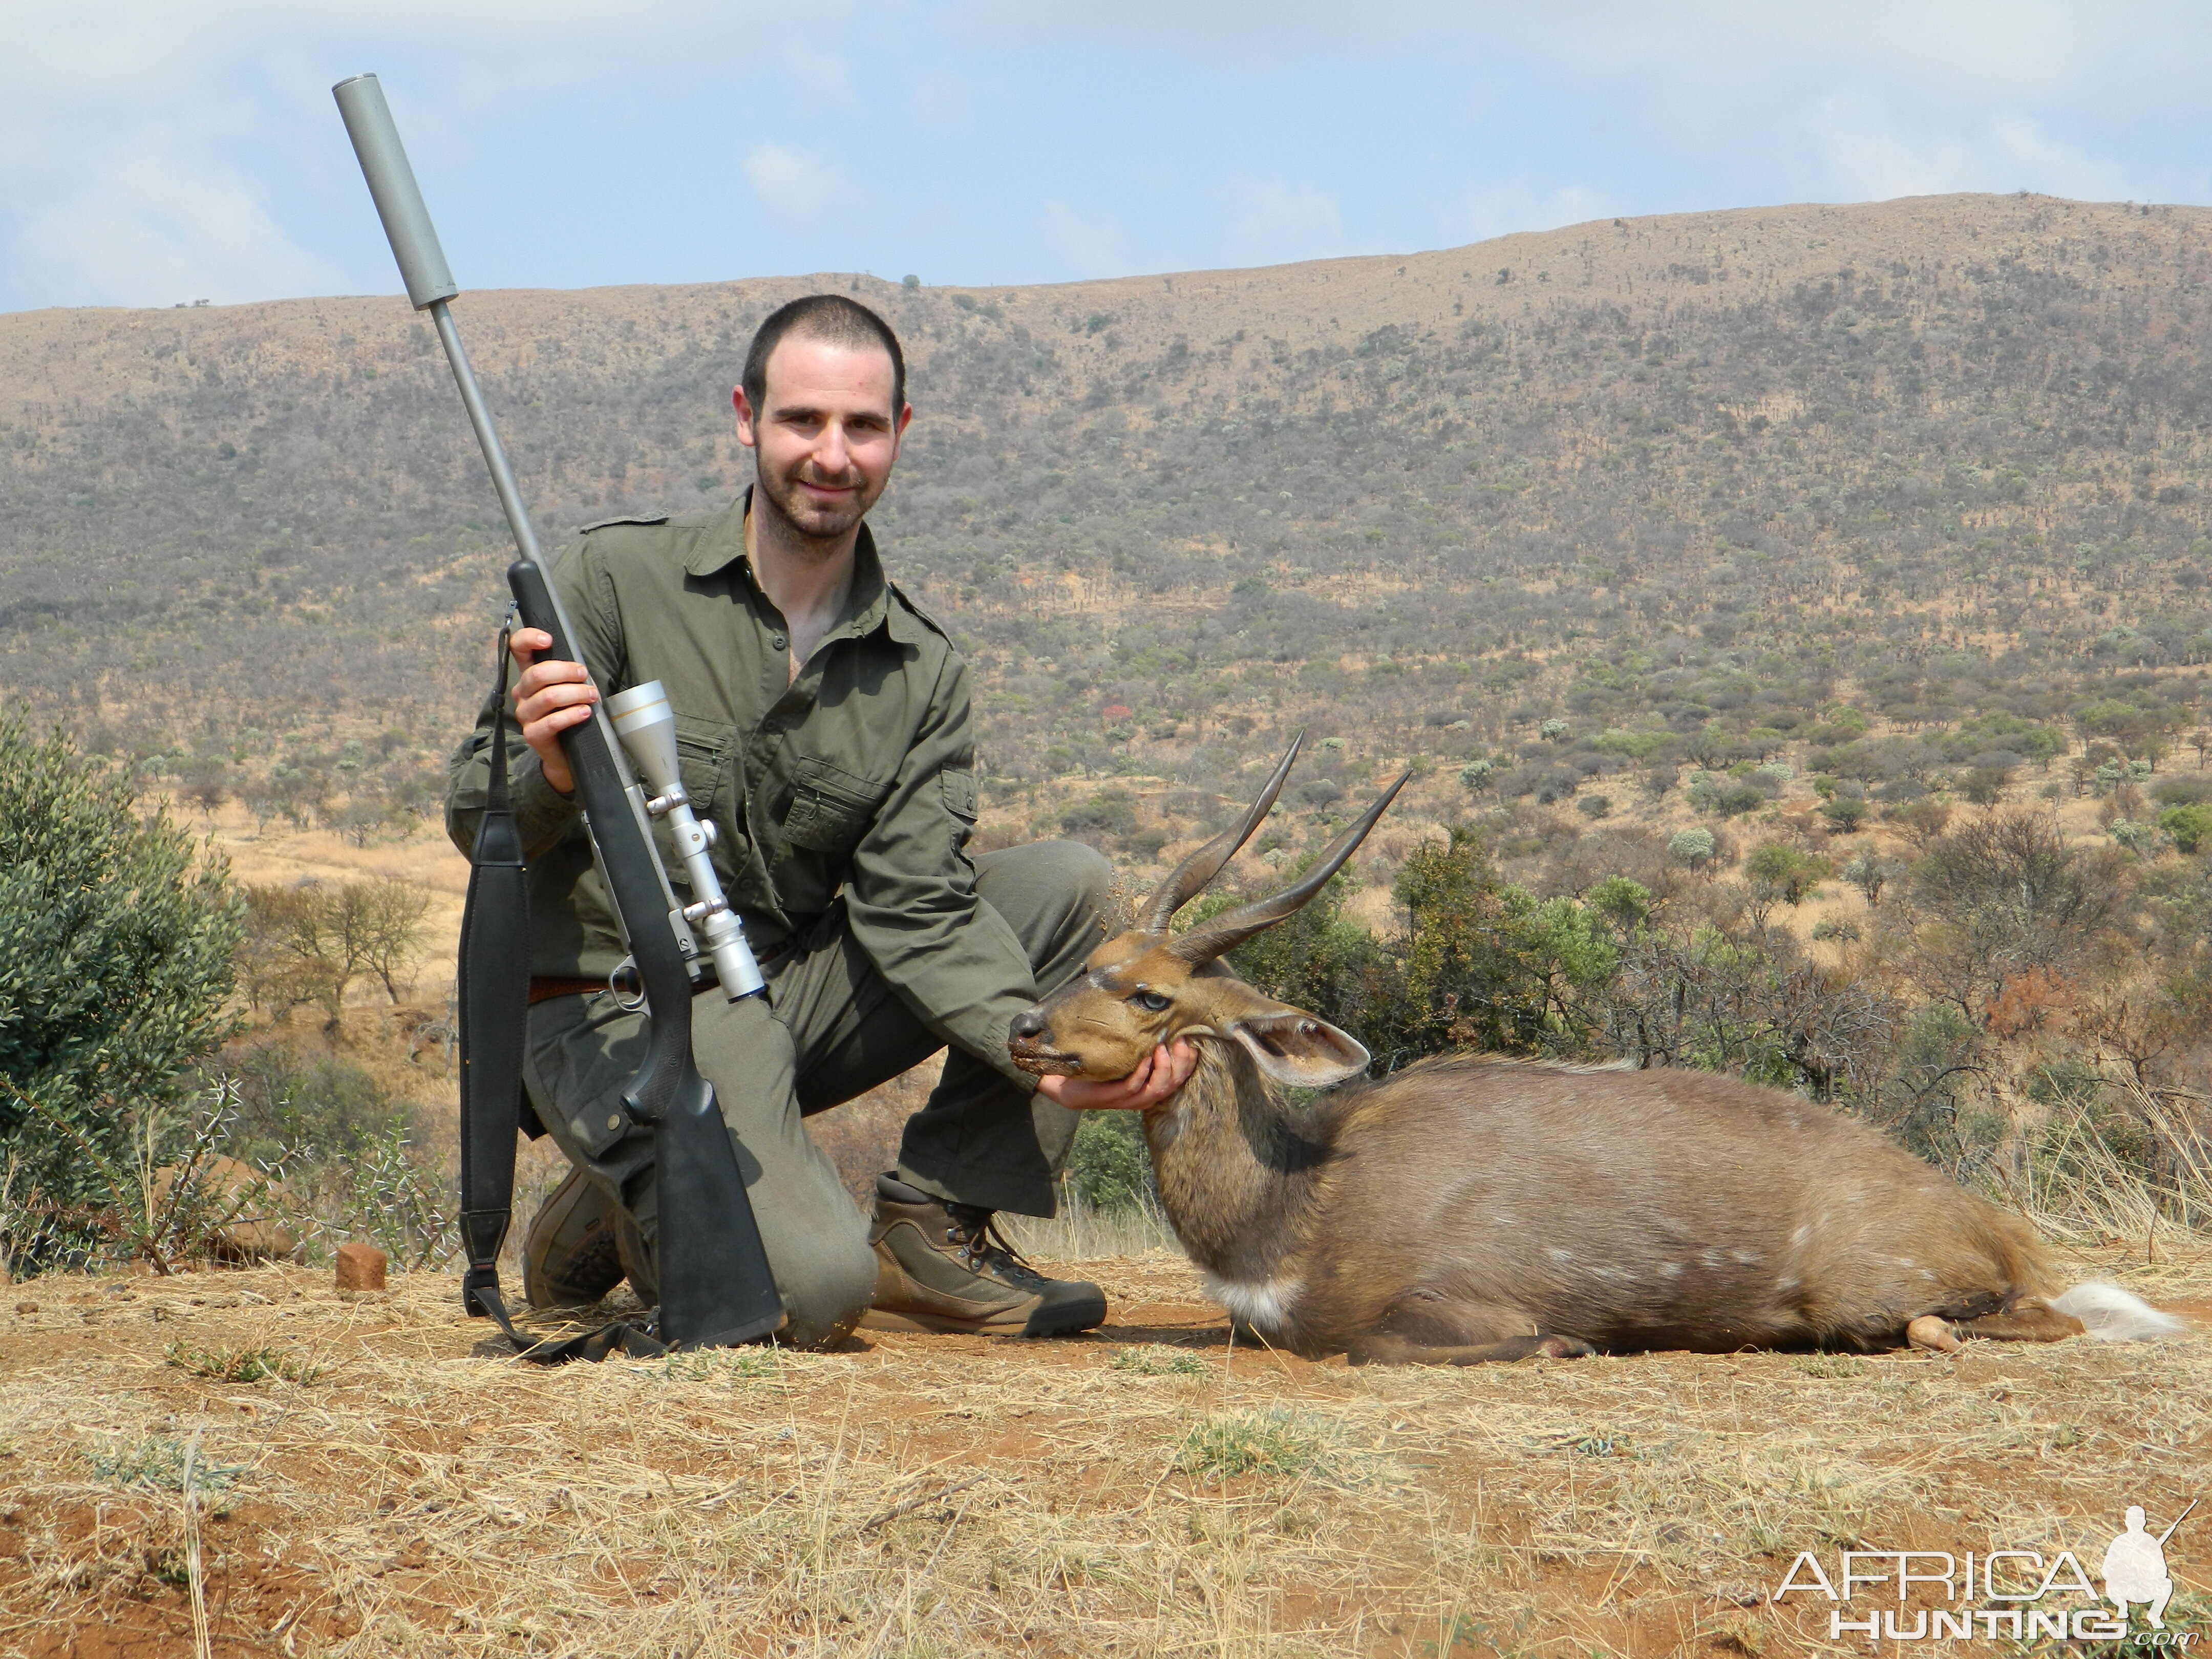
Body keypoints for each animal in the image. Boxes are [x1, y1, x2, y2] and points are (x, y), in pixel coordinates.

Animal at [1013, 748, 2185, 1371]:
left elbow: (1397, 1344)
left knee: (2010, 1321)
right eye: (1097, 962)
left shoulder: (1456, 1305)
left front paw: (1566, 1349)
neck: (1298, 1204)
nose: (1028, 1032)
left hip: (1875, 1293)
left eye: (1153, 995)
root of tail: (1991, 1222)